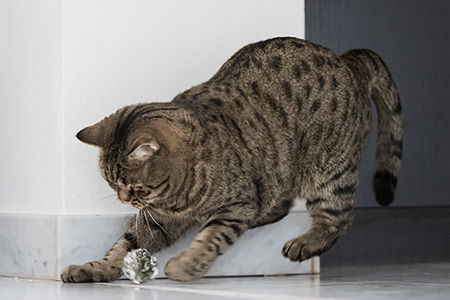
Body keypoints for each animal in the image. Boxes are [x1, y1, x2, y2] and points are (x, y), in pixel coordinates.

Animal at [59, 36, 400, 282]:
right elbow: (123, 246)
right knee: (281, 201)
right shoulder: (157, 219)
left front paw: (185, 267)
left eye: (132, 186)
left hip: (328, 170)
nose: (123, 199)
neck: (177, 197)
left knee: (339, 216)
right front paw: (94, 268)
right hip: (278, 168)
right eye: (111, 184)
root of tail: (345, 60)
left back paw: (307, 242)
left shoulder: (235, 206)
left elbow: (212, 238)